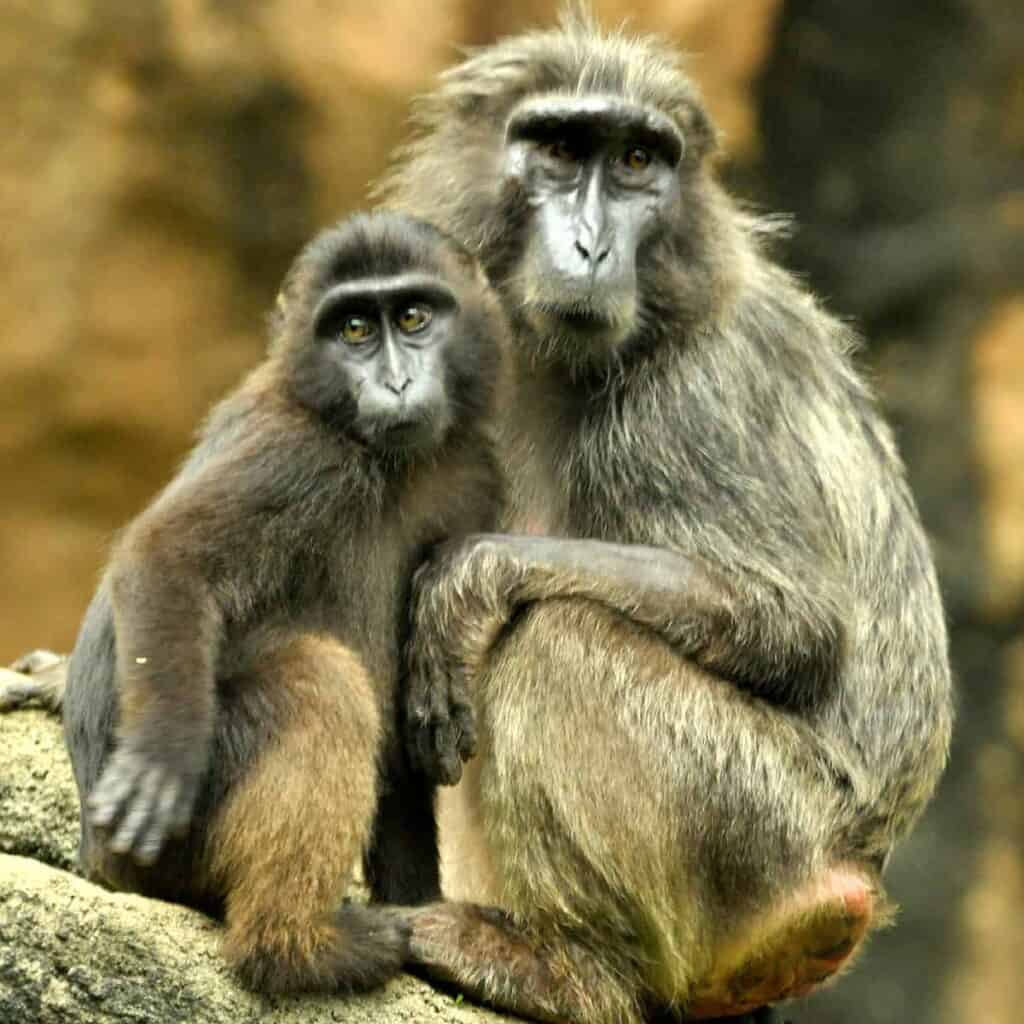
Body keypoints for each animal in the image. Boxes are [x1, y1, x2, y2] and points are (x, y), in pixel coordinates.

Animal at [0, 212, 506, 995]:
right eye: (354, 330)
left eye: (413, 317)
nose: (395, 382)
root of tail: (95, 859)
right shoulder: (296, 453)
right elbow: (165, 557)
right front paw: (160, 760)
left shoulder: (473, 474)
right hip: (175, 847)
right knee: (317, 681)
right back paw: (294, 949)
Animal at [372, 10, 954, 1024]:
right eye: (562, 151)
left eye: (638, 161)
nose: (591, 246)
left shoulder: (692, 397)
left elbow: (794, 625)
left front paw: (465, 583)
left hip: (764, 831)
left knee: (554, 639)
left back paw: (567, 969)